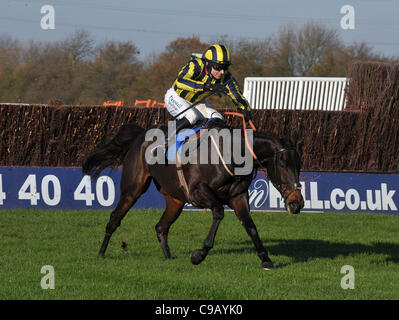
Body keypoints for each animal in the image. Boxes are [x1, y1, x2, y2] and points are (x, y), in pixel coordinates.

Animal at [83, 119, 304, 268]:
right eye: (283, 163)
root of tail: (140, 134)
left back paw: (168, 257)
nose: (297, 203)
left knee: (161, 226)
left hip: (175, 199)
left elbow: (250, 226)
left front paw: (265, 259)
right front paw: (198, 255)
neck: (230, 153)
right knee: (114, 218)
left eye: (299, 164)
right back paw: (101, 254)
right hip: (133, 188)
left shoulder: (238, 196)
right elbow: (218, 213)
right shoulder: (198, 192)